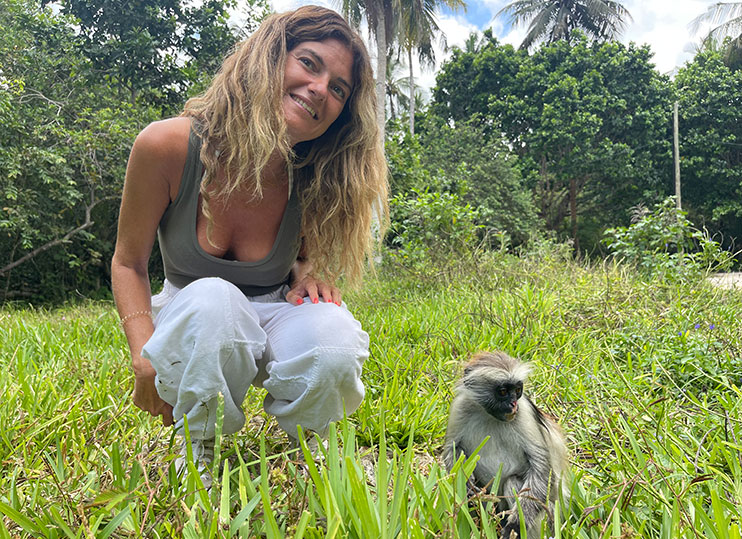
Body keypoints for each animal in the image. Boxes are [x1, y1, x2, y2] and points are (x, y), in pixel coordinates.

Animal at [444, 352, 572, 536]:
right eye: (503, 391)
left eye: (518, 391)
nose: (513, 404)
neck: (490, 416)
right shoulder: (461, 406)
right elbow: (452, 451)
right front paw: (469, 492)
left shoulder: (524, 411)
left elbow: (542, 469)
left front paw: (515, 526)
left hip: (548, 516)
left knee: (513, 481)